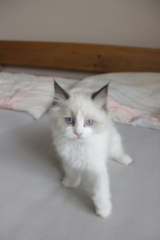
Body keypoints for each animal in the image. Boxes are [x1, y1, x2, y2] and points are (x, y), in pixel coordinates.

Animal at [49, 81, 132, 218]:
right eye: (69, 120)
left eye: (89, 122)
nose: (78, 133)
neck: (79, 146)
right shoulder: (68, 159)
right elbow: (72, 173)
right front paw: (71, 183)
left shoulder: (96, 166)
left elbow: (100, 189)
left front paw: (103, 210)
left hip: (113, 143)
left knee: (117, 151)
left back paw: (126, 160)